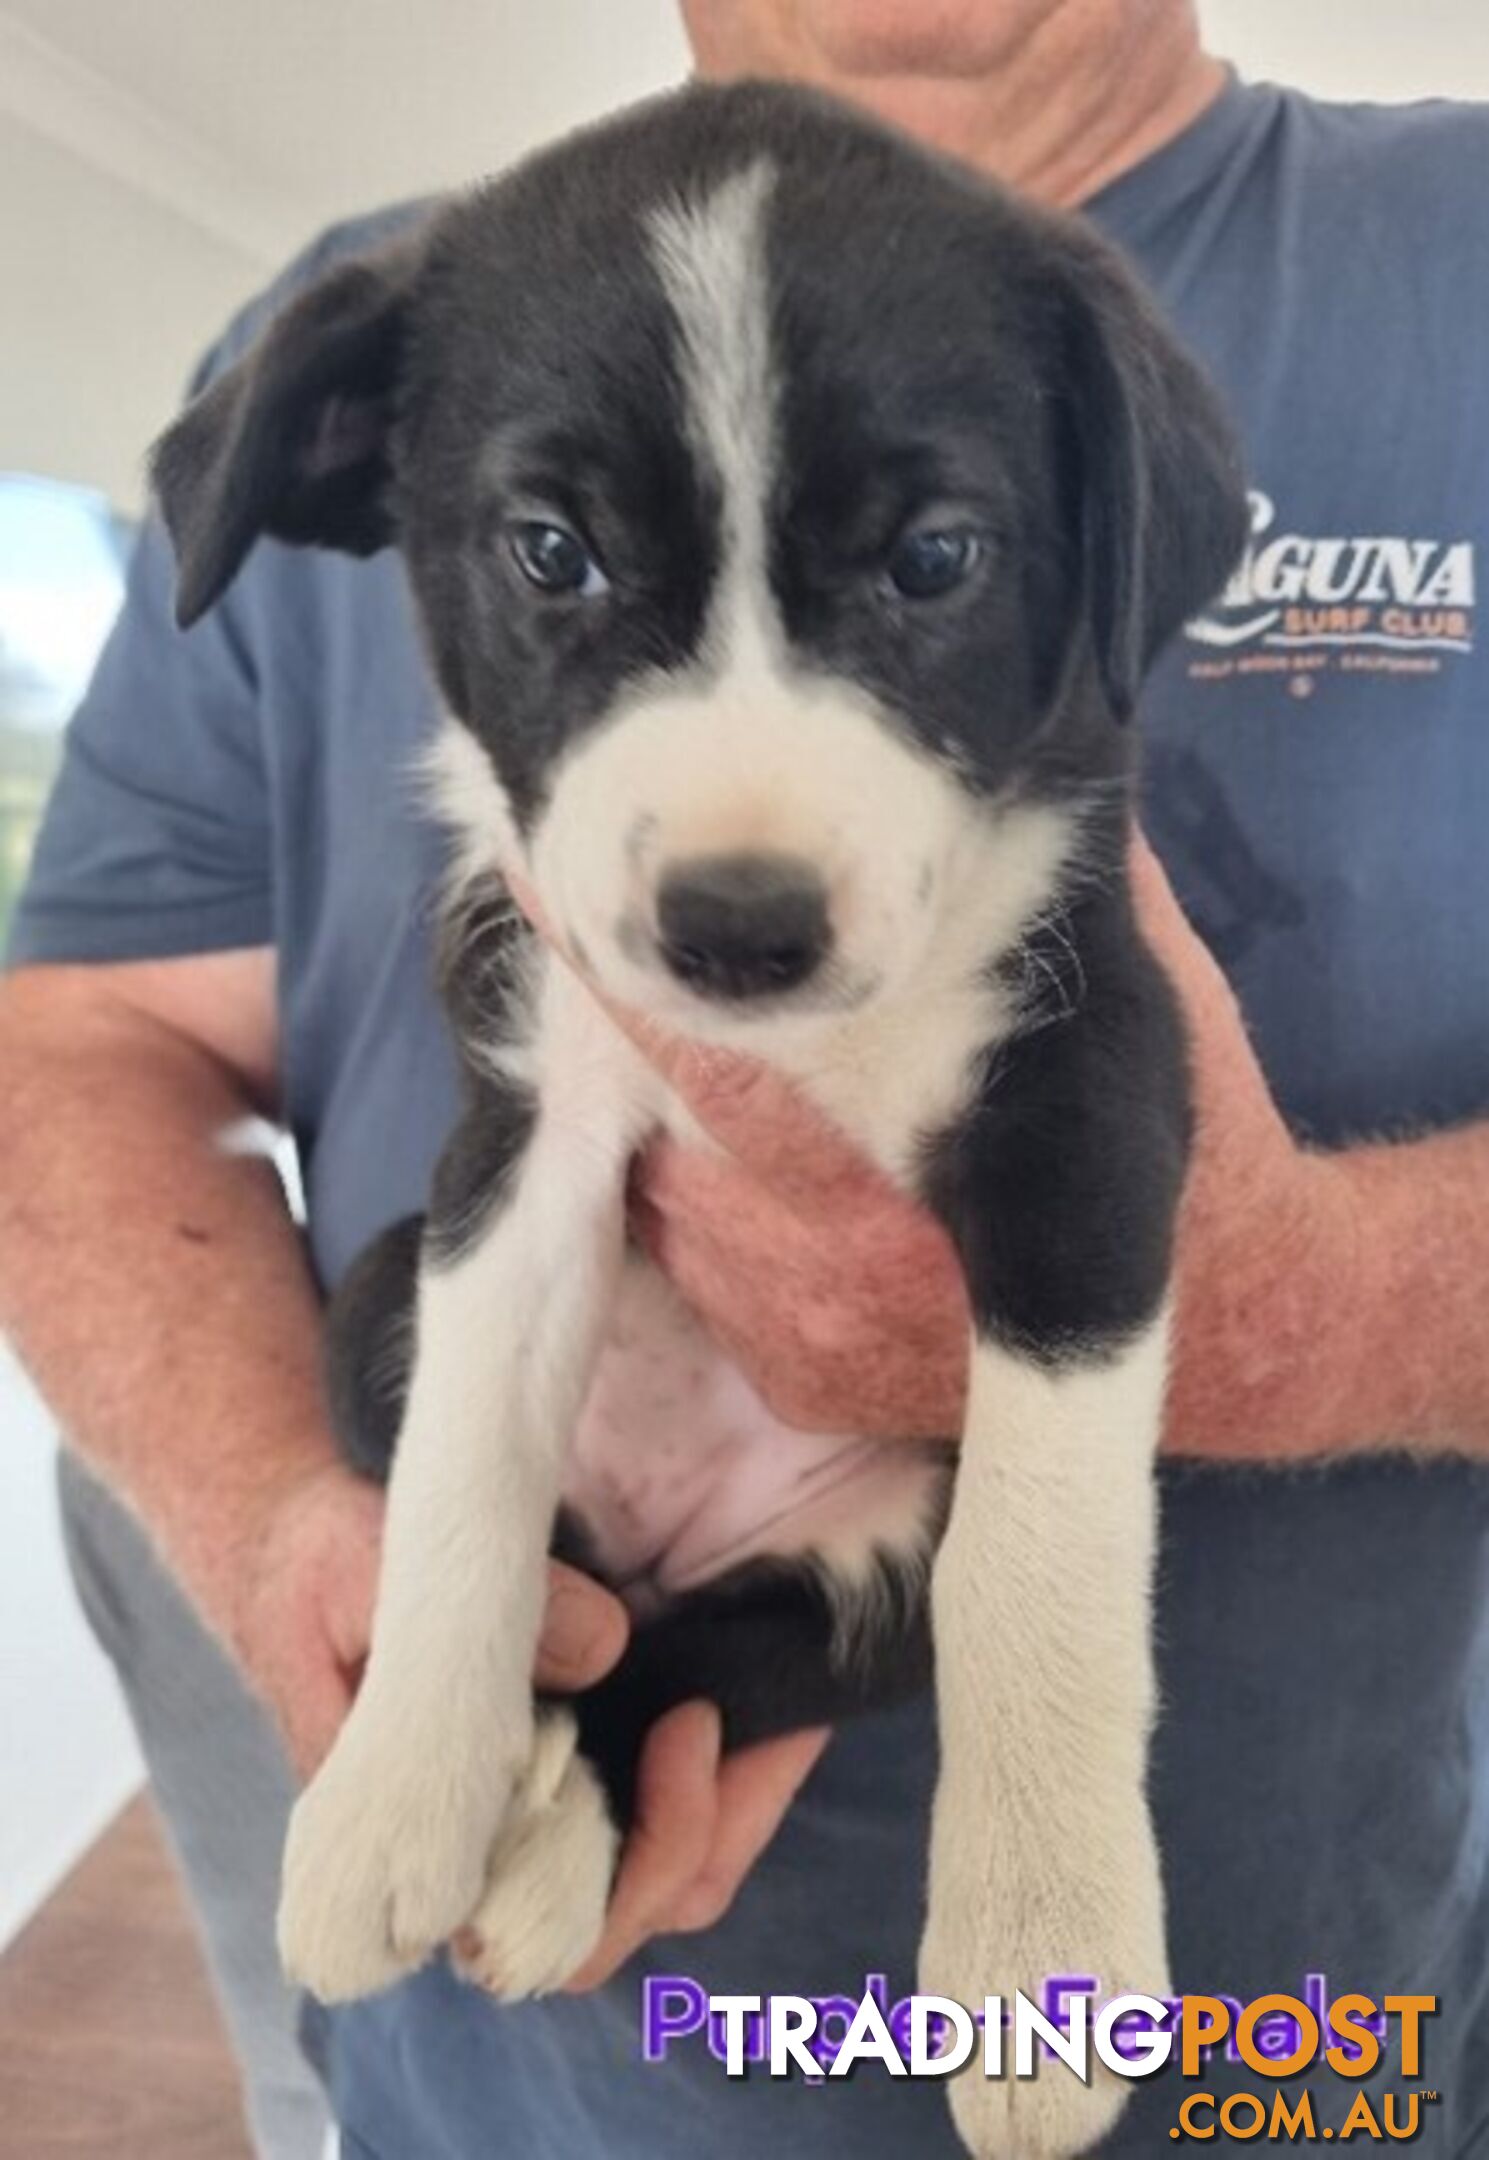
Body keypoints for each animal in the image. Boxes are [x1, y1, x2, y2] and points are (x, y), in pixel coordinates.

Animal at [153, 76, 1244, 2151]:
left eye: (932, 559)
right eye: (547, 550)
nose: (736, 926)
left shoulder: (1087, 1102)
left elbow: (1035, 1560)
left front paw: (1038, 1959)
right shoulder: (527, 1118)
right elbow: (462, 1490)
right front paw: (394, 1795)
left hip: (845, 1590)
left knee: (685, 1665)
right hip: (381, 1293)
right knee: (581, 1613)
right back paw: (513, 1816)